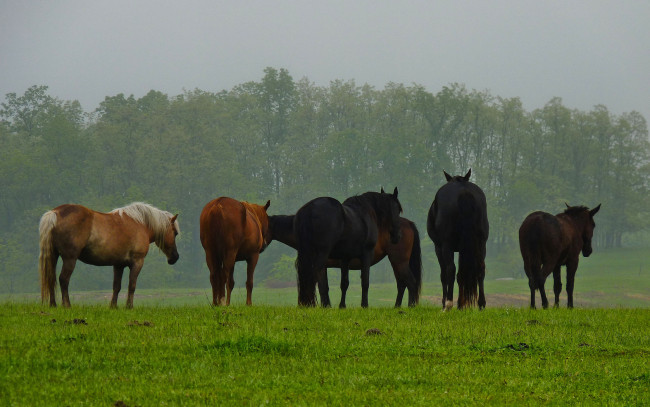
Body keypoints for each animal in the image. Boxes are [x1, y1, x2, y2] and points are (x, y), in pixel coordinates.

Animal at [39, 202, 178, 310]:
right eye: (175, 232)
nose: (175, 257)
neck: (140, 224)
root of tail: (55, 213)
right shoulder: (137, 262)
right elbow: (132, 285)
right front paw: (129, 306)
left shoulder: (118, 265)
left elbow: (116, 286)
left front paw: (113, 306)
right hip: (70, 259)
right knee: (63, 279)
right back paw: (67, 305)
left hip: (54, 256)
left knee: (51, 278)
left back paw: (53, 304)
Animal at [268, 215, 422, 308]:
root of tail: (408, 223)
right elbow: (325, 287)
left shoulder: (321, 266)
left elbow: (323, 287)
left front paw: (327, 306)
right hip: (396, 262)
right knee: (401, 284)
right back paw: (397, 306)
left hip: (399, 261)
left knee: (410, 282)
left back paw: (410, 306)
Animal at [426, 169, 486, 310]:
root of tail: (463, 191)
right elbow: (461, 275)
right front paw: (461, 304)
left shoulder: (439, 247)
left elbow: (444, 275)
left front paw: (444, 302)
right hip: (481, 243)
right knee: (480, 268)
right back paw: (481, 303)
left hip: (446, 245)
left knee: (450, 270)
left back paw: (448, 304)